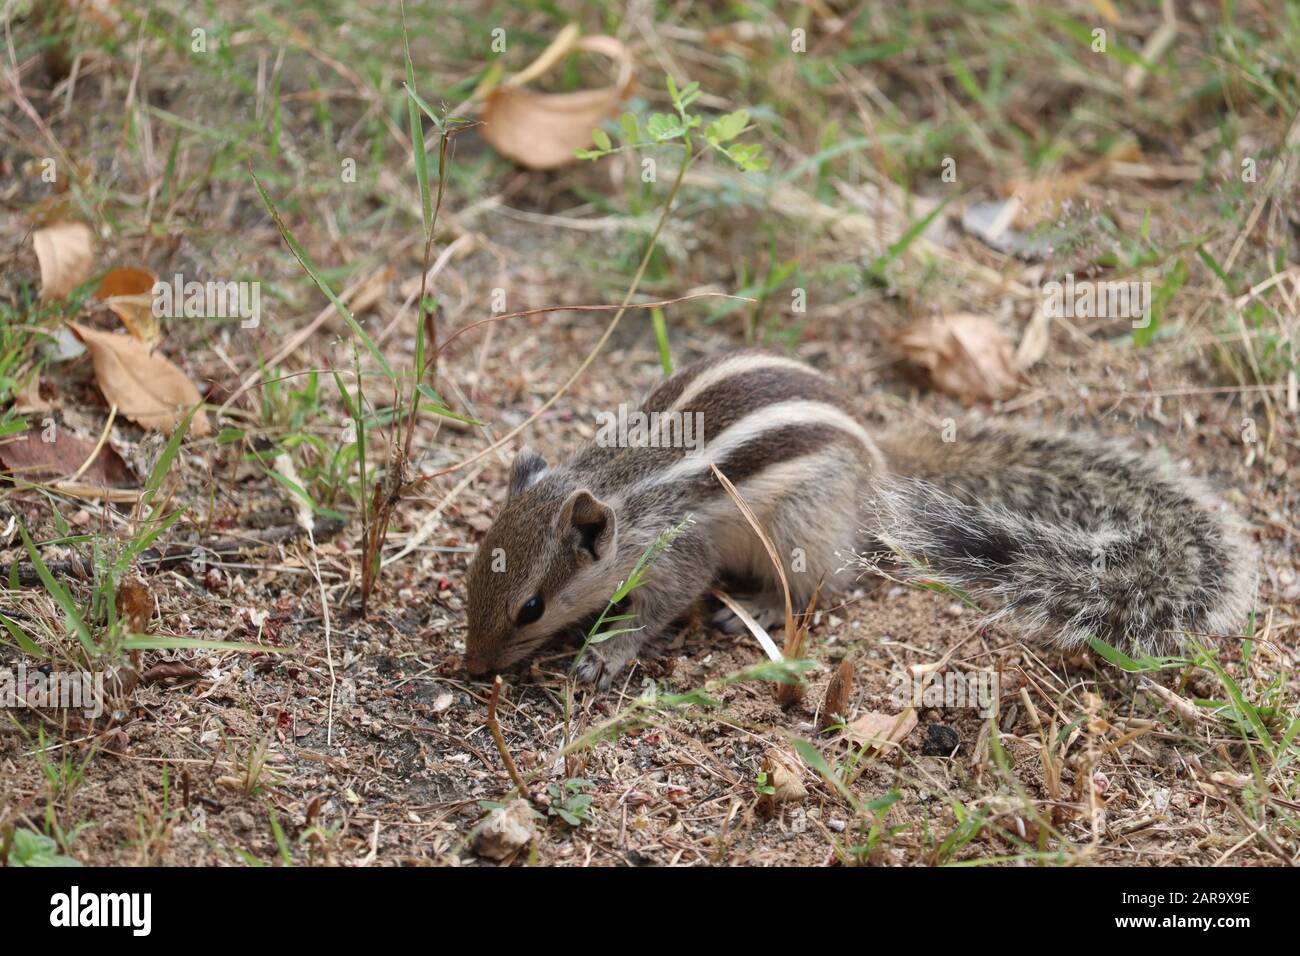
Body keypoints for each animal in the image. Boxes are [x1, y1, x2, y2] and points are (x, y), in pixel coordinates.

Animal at [462, 351, 1253, 686]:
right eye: (471, 579)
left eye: (530, 608)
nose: (471, 669)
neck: (622, 488)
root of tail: (876, 457)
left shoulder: (678, 551)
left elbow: (663, 604)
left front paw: (608, 650)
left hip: (804, 526)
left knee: (826, 584)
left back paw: (761, 605)